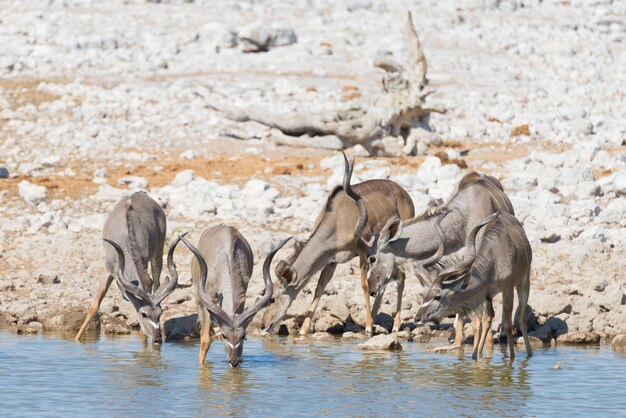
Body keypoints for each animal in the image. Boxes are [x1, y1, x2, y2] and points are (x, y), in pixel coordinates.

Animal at [75, 193, 180, 342]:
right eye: (144, 314)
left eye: (160, 313)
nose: (158, 339)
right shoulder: (108, 270)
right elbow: (94, 306)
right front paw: (77, 340)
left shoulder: (144, 269)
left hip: (157, 255)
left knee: (157, 282)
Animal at [179, 225, 288, 366]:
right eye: (224, 335)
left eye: (243, 336)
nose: (234, 361)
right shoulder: (209, 297)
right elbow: (206, 339)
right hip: (198, 297)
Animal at [260, 153, 414, 336]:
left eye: (272, 299)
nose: (263, 325)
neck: (337, 221)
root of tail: (404, 193)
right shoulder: (331, 261)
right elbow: (319, 288)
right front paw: (303, 331)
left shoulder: (363, 252)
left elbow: (364, 285)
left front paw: (368, 327)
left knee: (401, 276)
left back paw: (395, 324)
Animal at [414, 211, 532, 360]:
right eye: (423, 295)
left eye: (437, 296)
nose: (417, 318)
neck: (493, 260)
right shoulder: (484, 293)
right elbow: (481, 324)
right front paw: (475, 356)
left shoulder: (507, 287)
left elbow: (508, 325)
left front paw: (511, 358)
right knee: (487, 320)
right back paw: (480, 354)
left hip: (524, 281)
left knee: (522, 319)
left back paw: (529, 354)